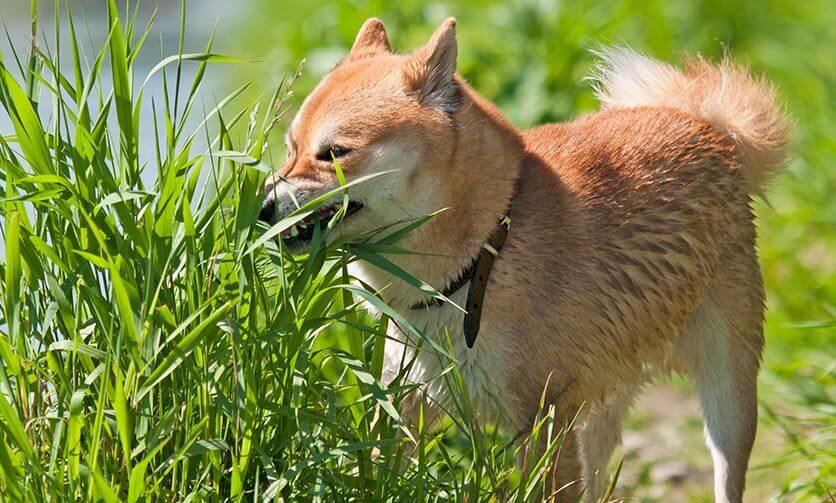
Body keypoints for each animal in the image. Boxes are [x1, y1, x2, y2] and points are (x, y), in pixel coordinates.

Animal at [260, 17, 792, 502]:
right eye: (289, 149)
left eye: (334, 153)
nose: (263, 208)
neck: (486, 253)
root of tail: (707, 126)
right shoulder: (404, 403)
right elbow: (373, 471)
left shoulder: (543, 424)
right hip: (601, 405)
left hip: (727, 397)